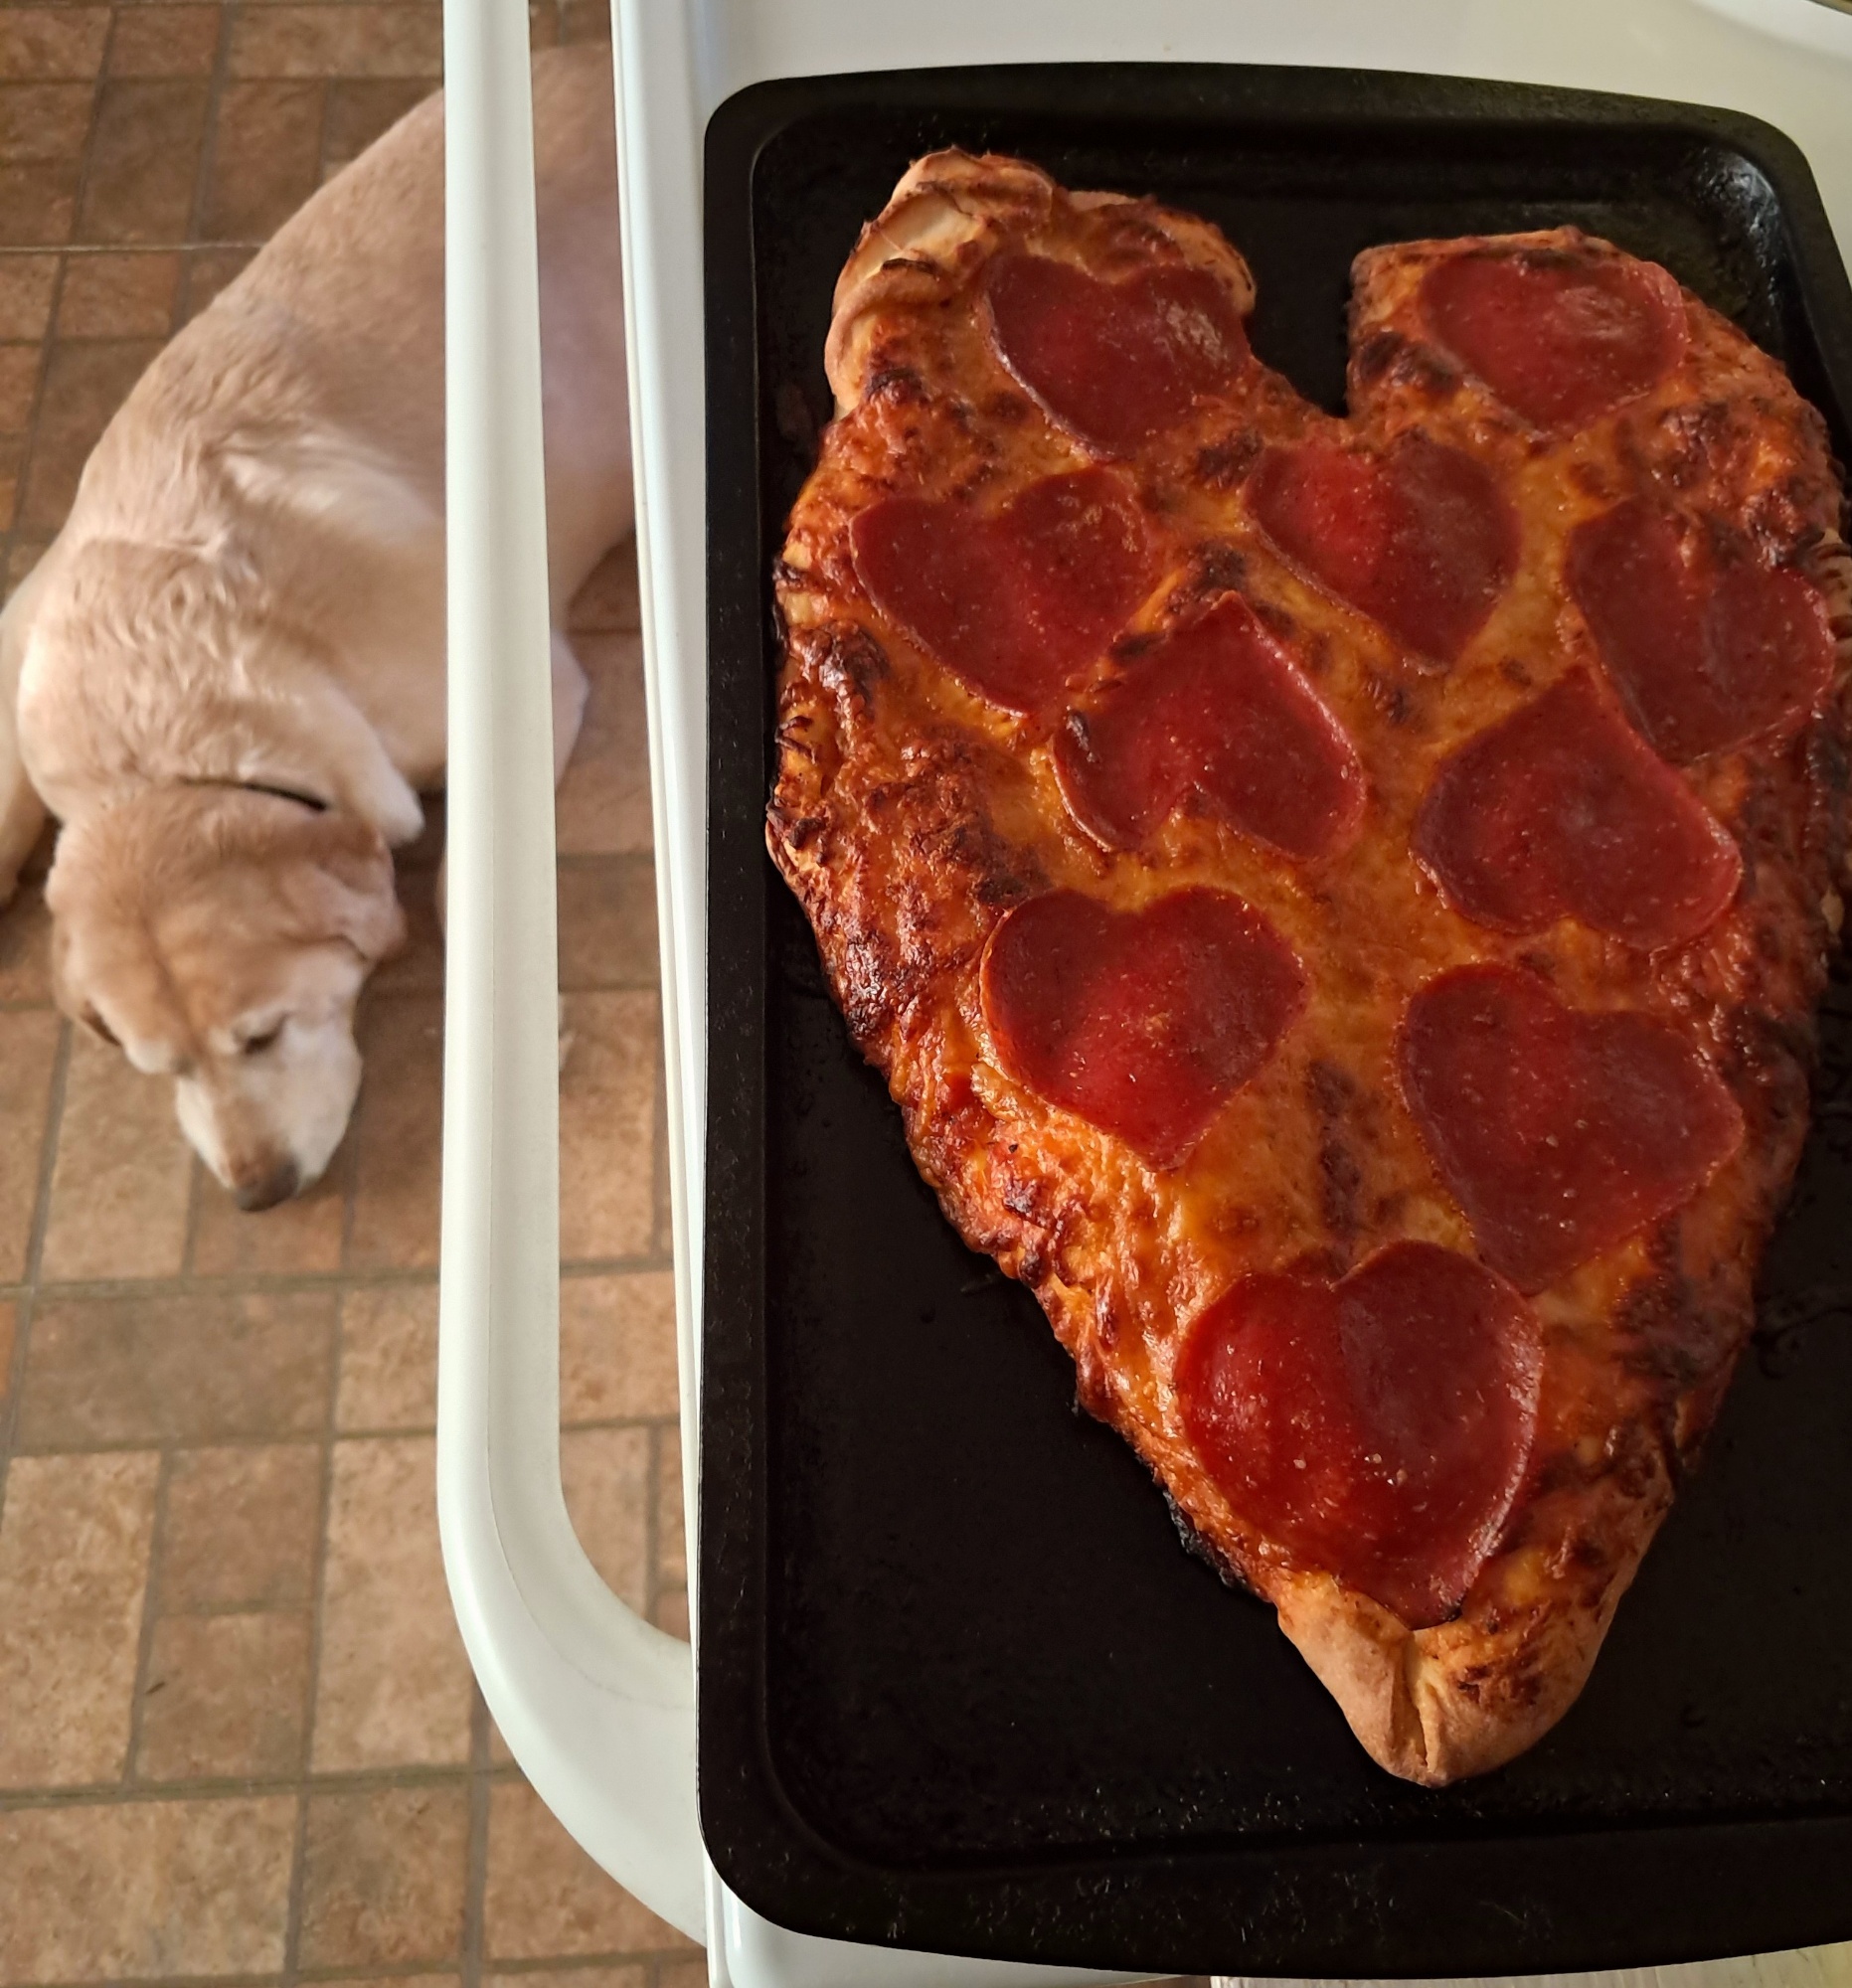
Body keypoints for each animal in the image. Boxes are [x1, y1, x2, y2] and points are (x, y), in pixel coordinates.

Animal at [0, 46, 632, 1210]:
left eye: (260, 1034)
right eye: (158, 1065)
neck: (162, 737)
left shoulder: (523, 697)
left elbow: (462, 888)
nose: (260, 1191)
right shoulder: (35, 606)